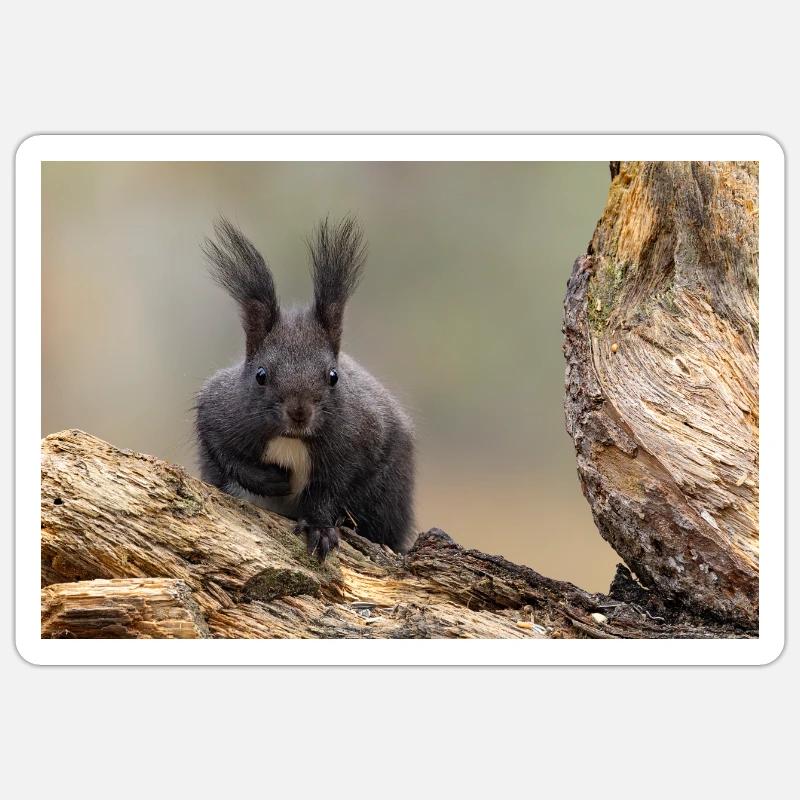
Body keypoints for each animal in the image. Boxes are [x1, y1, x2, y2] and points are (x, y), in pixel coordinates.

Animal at [195, 216, 416, 561]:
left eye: (333, 376)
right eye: (260, 375)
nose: (299, 413)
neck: (292, 439)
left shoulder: (360, 440)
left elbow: (331, 488)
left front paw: (320, 528)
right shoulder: (218, 410)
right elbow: (223, 452)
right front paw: (273, 481)